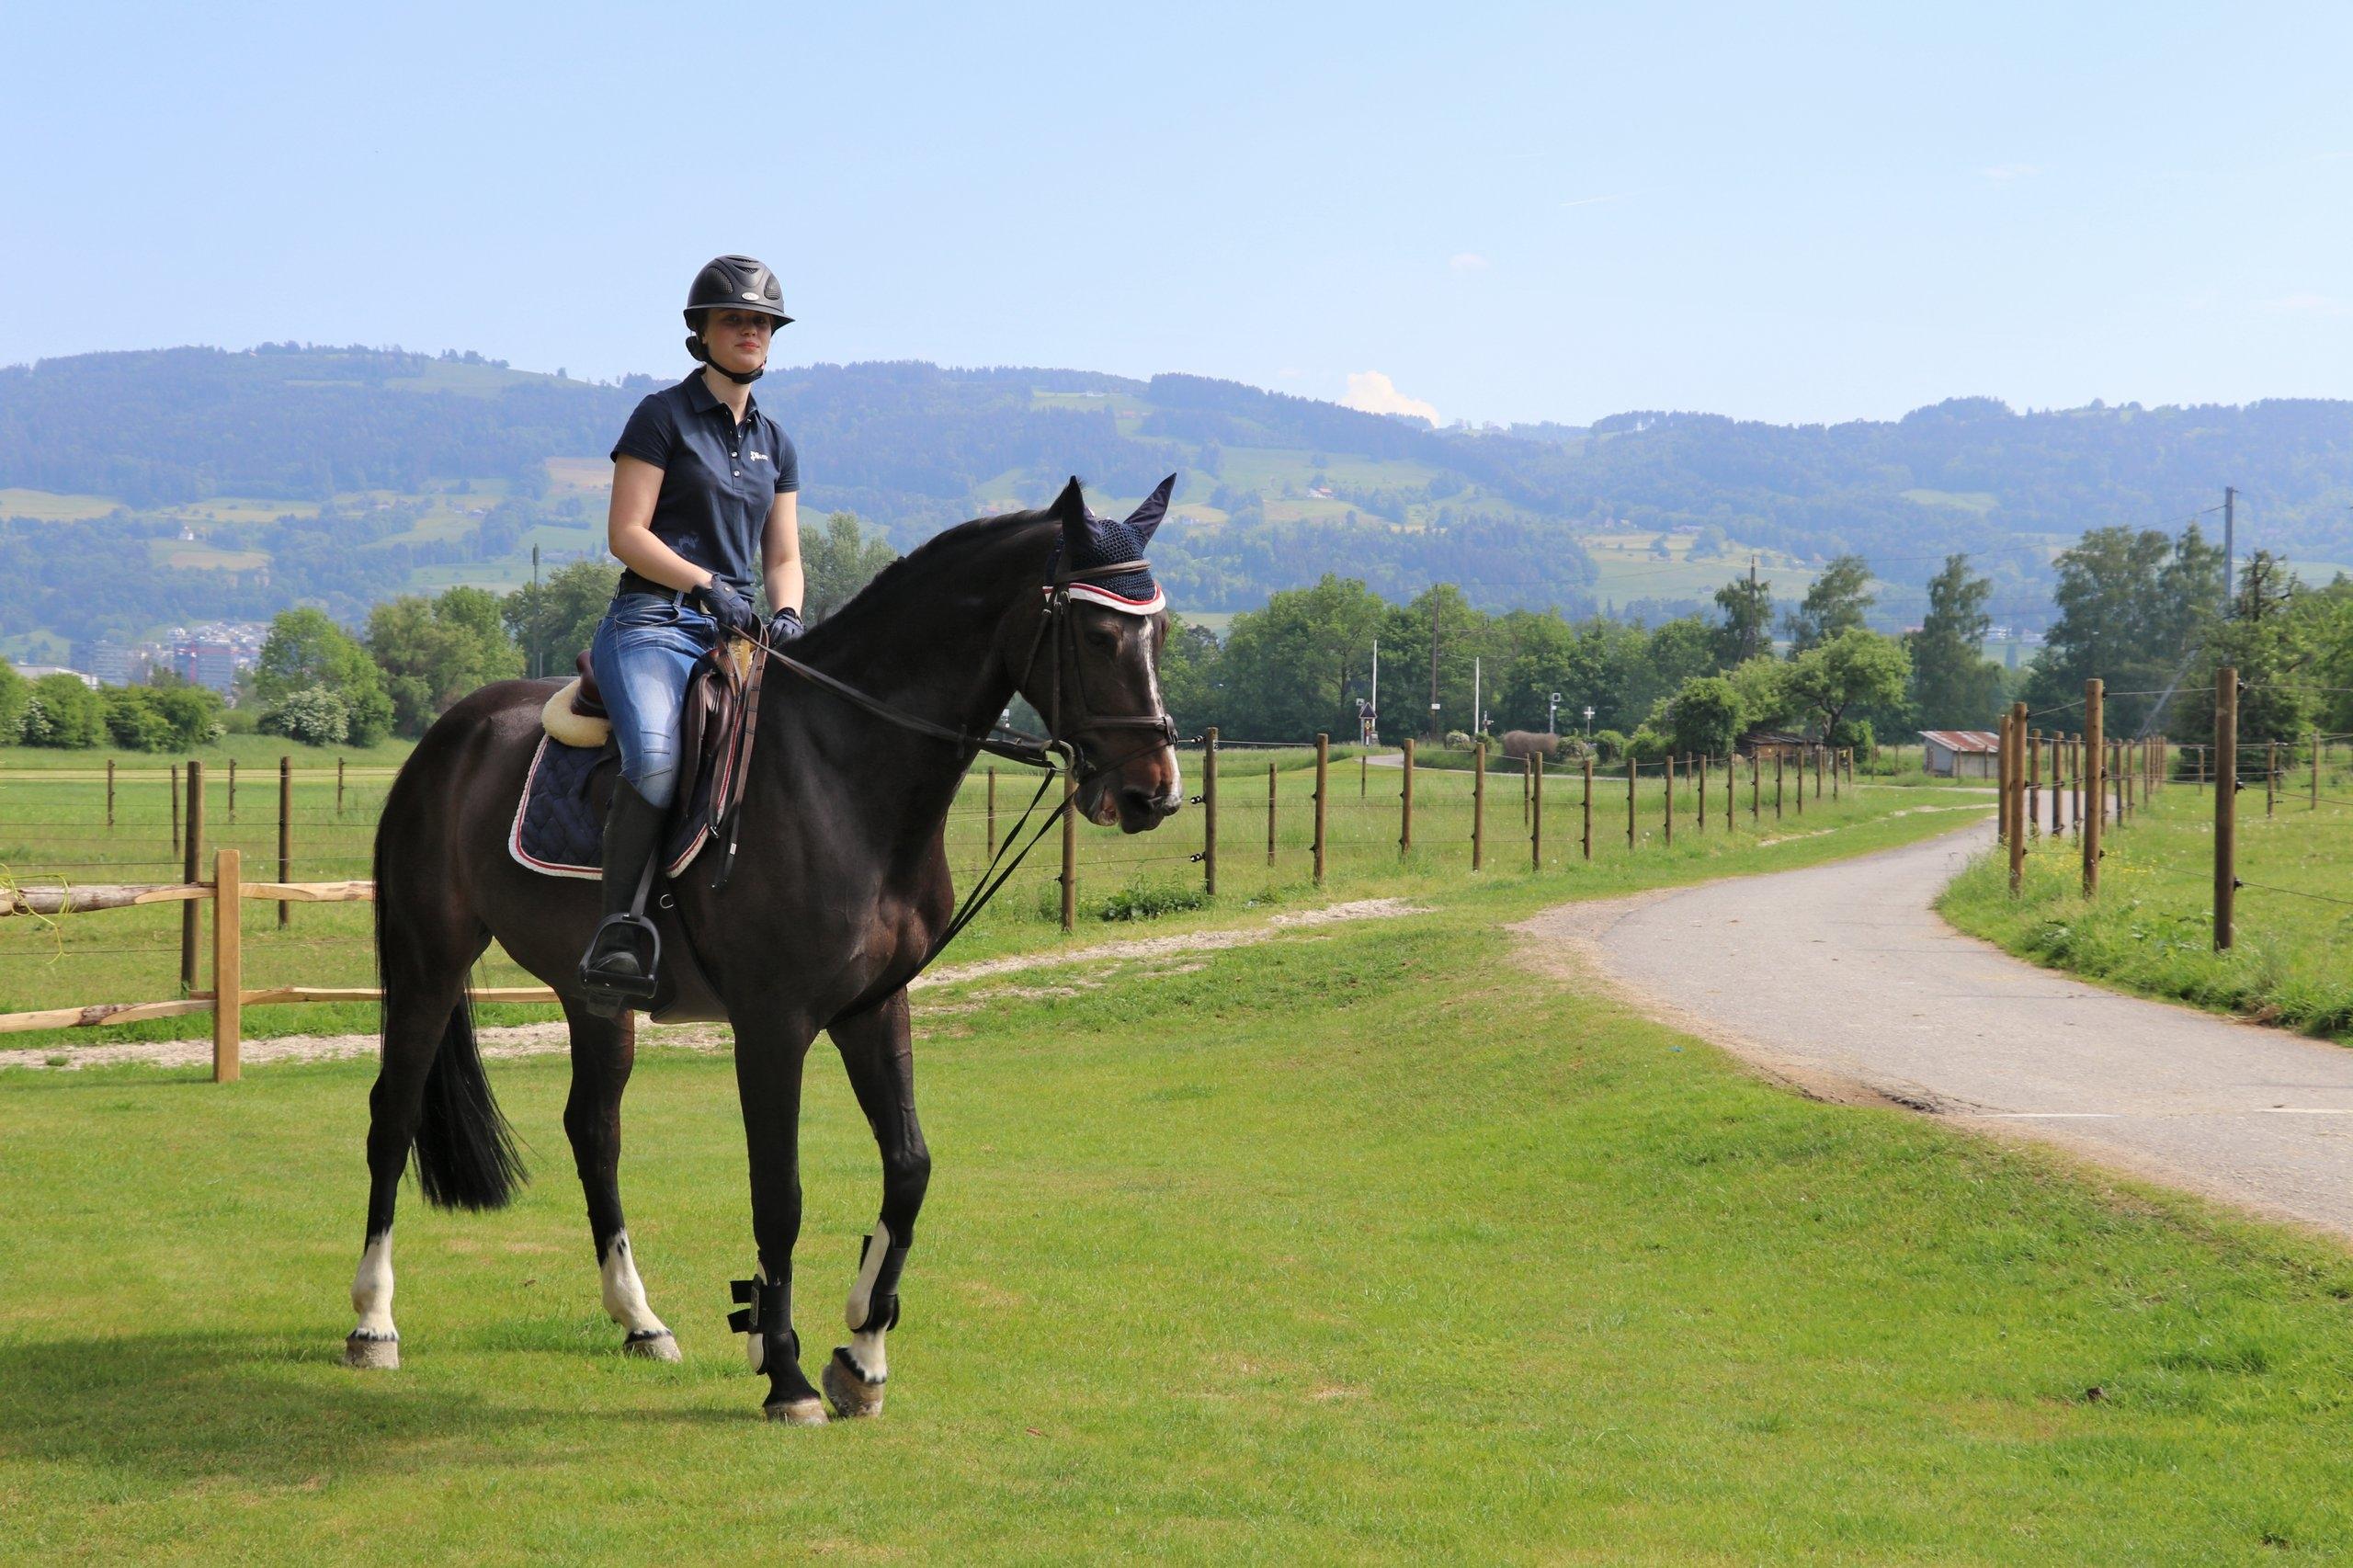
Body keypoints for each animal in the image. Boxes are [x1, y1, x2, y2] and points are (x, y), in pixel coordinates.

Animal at [343, 475, 1195, 1412]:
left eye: (1160, 630)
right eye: (1098, 633)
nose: (1155, 794)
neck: (845, 768)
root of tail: (450, 732)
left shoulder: (873, 1007)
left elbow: (910, 1166)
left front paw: (862, 1350)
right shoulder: (773, 1023)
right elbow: (779, 1193)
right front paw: (786, 1371)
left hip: (592, 995)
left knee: (593, 1131)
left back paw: (640, 1320)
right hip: (429, 959)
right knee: (392, 1116)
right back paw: (374, 1323)